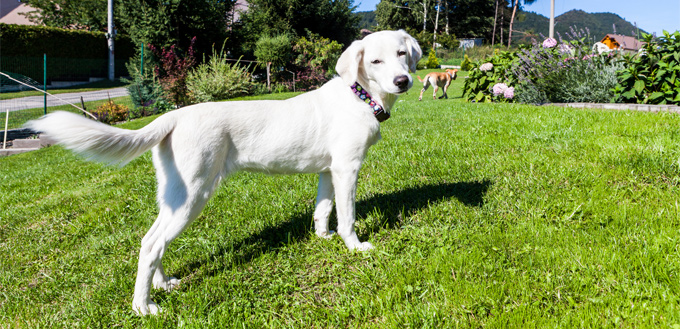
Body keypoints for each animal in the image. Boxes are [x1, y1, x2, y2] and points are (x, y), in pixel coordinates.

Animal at [26, 29, 420, 314]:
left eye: (402, 54)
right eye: (375, 60)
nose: (403, 81)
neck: (360, 96)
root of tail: (173, 115)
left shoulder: (328, 170)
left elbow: (323, 210)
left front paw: (323, 238)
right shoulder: (347, 168)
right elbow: (347, 216)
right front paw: (355, 247)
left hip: (175, 194)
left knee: (150, 239)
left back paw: (162, 284)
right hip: (194, 193)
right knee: (152, 244)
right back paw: (143, 306)